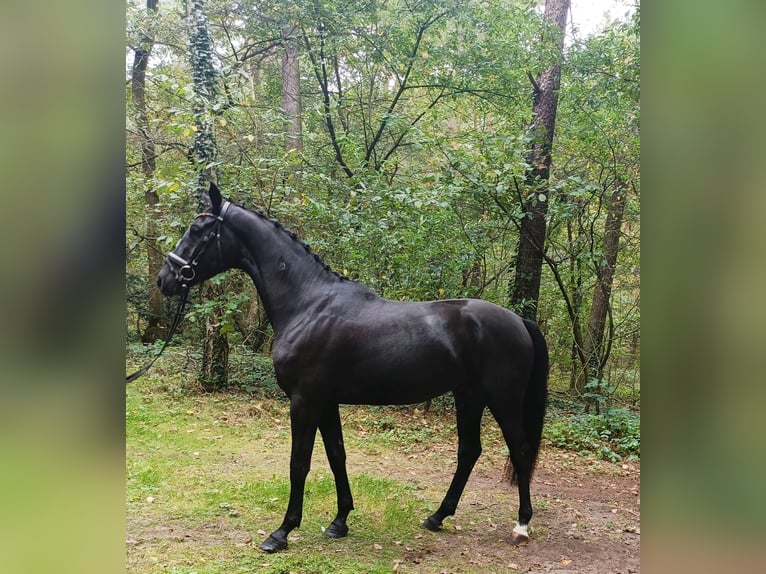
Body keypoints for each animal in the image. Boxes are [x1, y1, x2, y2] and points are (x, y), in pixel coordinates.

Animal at [159, 183, 548, 552]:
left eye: (197, 228)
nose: (165, 279)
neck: (308, 304)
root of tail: (519, 321)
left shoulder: (304, 401)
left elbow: (299, 464)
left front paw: (282, 532)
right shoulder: (326, 402)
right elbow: (337, 456)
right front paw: (340, 521)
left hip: (502, 400)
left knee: (520, 450)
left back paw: (521, 526)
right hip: (468, 396)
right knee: (469, 451)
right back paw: (437, 517)